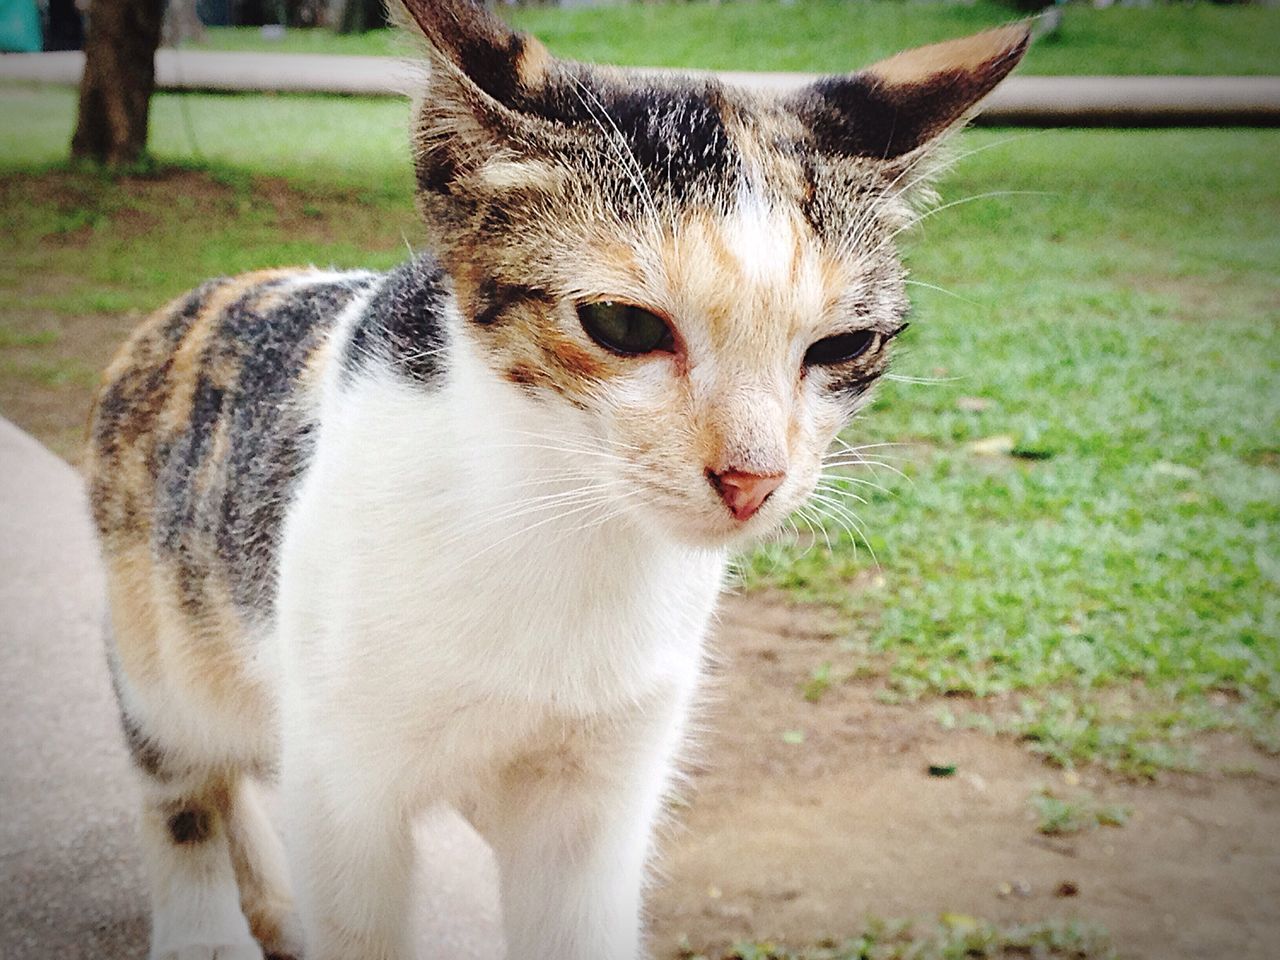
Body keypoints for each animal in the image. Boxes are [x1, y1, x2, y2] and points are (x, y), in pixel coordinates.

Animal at [87, 3, 1029, 957]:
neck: (562, 524)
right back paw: (205, 927)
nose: (752, 476)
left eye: (843, 345)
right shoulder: (342, 777)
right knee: (181, 786)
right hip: (164, 645)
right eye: (623, 324)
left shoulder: (602, 783)